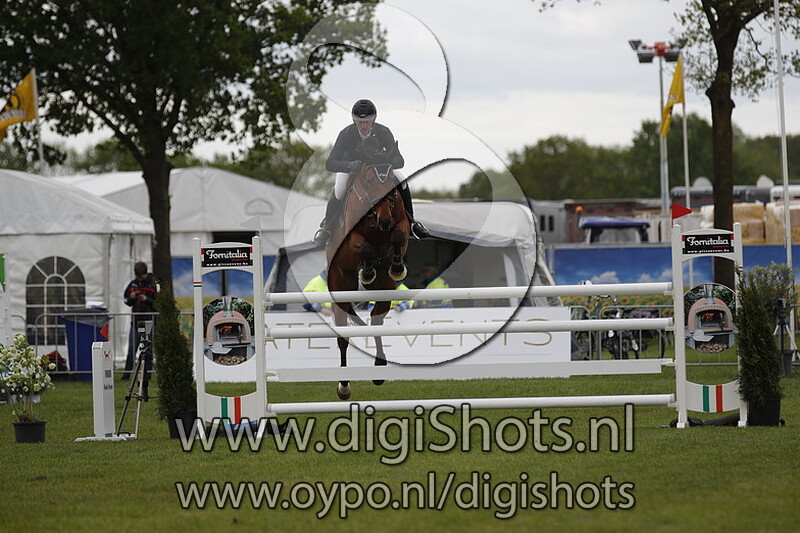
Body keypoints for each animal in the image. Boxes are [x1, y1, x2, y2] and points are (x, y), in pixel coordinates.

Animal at [326, 159, 411, 400]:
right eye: (369, 181)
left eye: (390, 183)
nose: (384, 221)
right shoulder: (352, 238)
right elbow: (366, 247)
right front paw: (367, 270)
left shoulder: (401, 224)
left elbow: (399, 235)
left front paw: (396, 266)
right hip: (340, 285)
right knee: (343, 336)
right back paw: (344, 386)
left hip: (386, 290)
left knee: (376, 321)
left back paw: (379, 367)